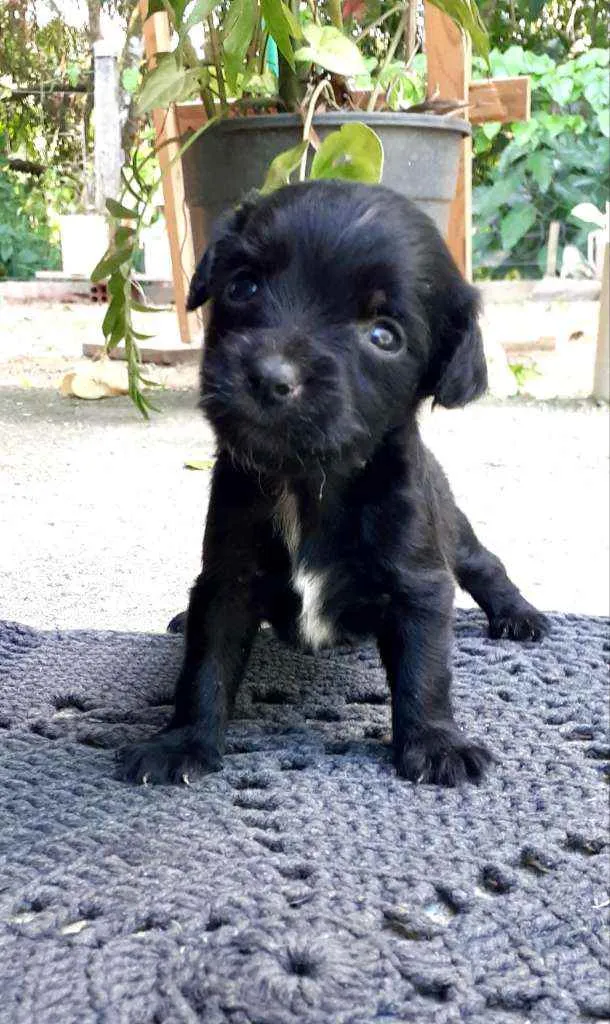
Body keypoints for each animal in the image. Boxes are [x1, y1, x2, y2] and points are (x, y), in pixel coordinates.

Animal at [116, 180, 548, 787]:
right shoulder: (228, 579)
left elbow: (425, 671)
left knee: (487, 566)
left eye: (384, 335)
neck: (307, 484)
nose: (270, 377)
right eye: (242, 284)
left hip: (454, 533)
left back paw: (519, 616)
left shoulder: (418, 583)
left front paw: (436, 742)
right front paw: (181, 742)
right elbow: (206, 667)